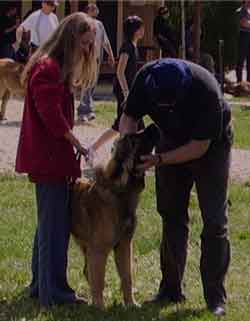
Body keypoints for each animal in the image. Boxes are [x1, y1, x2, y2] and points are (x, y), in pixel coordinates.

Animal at [71, 123, 159, 308]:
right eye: (134, 139)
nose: (154, 125)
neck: (120, 193)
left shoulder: (124, 244)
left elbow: (127, 277)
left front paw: (131, 304)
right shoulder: (99, 250)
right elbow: (99, 279)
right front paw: (99, 307)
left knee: (87, 271)